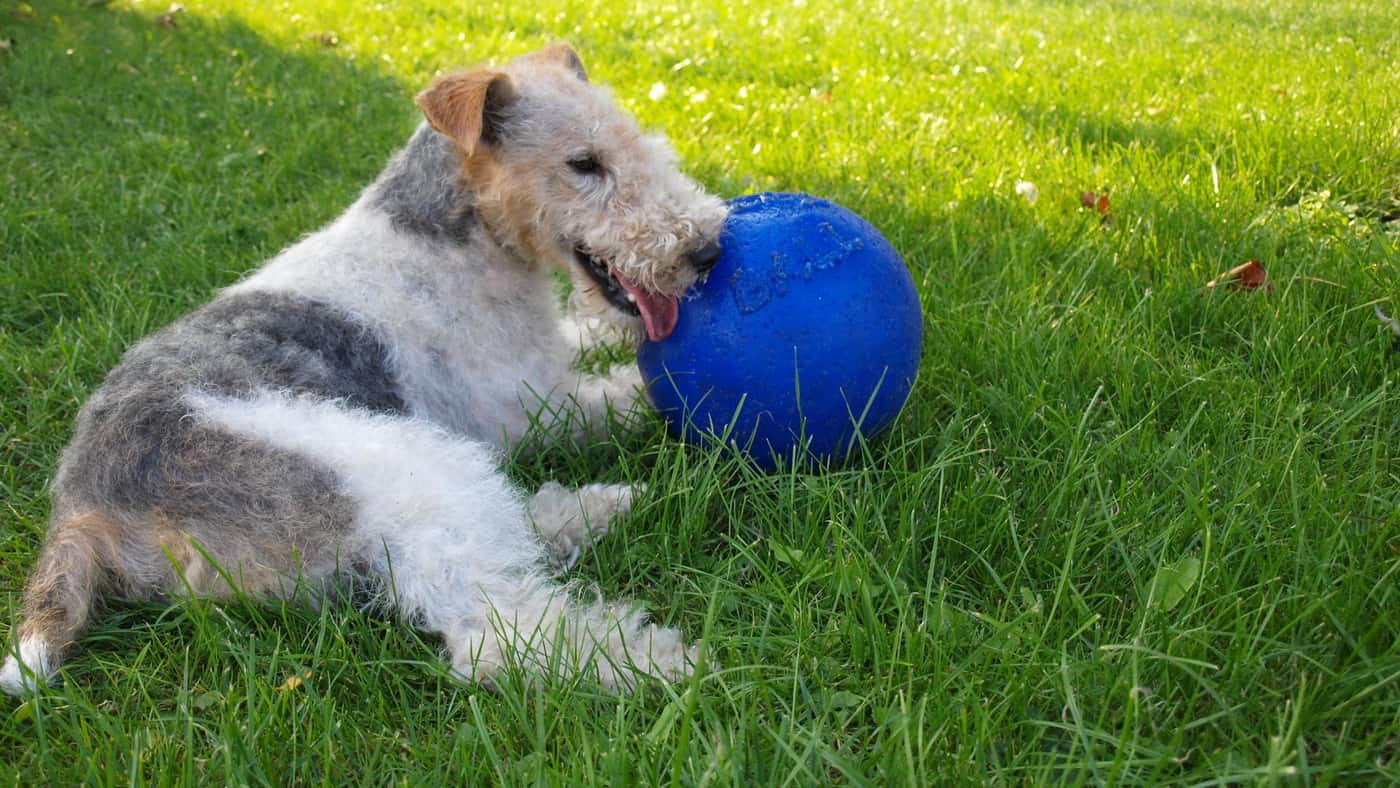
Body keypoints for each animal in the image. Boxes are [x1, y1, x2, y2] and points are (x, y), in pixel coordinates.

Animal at [2, 44, 733, 697]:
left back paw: (595, 510)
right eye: (584, 163)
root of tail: (83, 508)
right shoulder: (533, 405)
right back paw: (661, 663)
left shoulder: (546, 358)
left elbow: (590, 336)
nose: (705, 250)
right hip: (392, 461)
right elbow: (632, 392)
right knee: (492, 631)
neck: (449, 233)